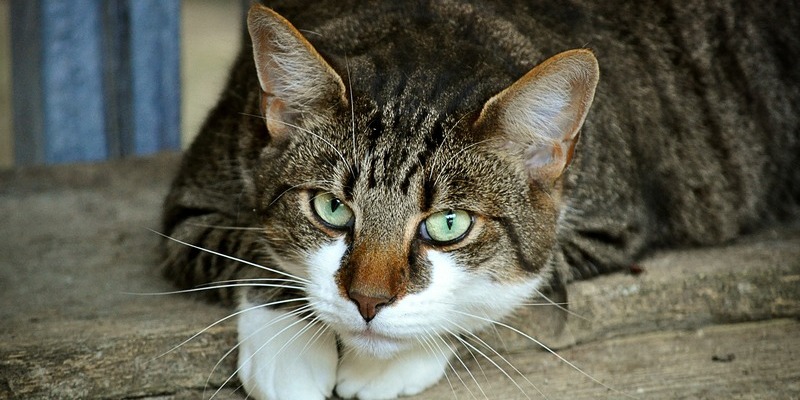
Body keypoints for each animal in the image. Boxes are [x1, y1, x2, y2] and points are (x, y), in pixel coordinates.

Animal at [159, 0, 796, 400]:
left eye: (448, 225)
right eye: (331, 209)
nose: (367, 301)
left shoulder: (611, 225)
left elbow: (510, 288)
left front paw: (382, 364)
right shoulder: (196, 196)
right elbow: (250, 250)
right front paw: (290, 354)